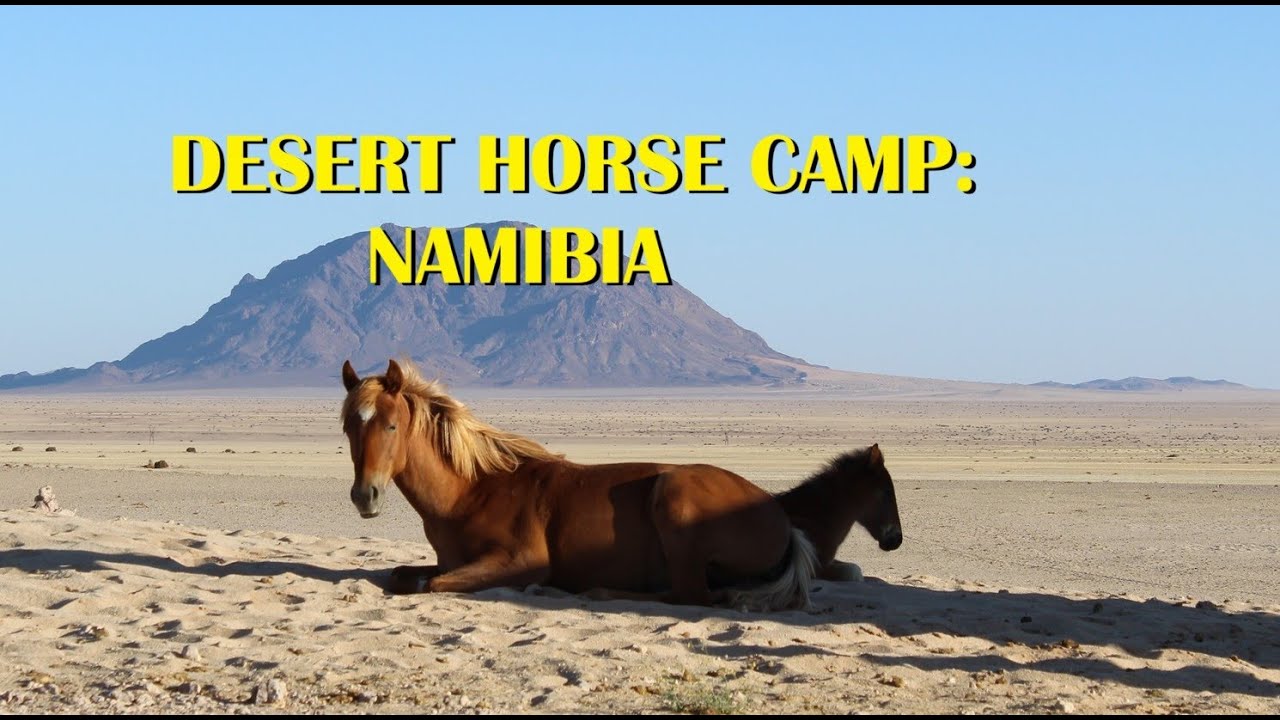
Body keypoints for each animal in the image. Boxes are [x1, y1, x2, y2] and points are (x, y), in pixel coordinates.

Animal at [339, 359, 819, 610]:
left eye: (392, 425)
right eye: (348, 426)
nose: (365, 496)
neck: (472, 492)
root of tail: (782, 520)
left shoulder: (520, 560)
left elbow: (432, 585)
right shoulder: (449, 561)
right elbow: (403, 576)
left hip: (674, 497)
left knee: (691, 594)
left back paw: (597, 591)